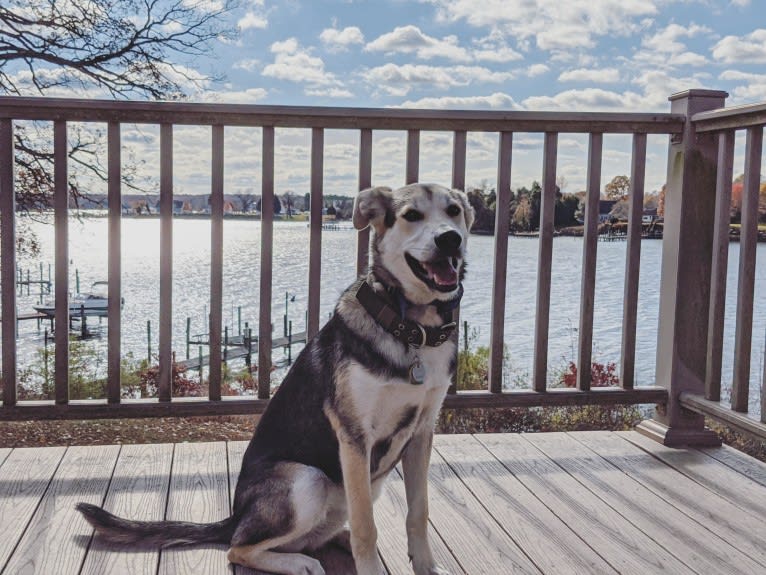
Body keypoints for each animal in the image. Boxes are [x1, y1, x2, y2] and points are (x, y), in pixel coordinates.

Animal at [78, 183, 474, 575]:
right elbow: (367, 525)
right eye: (411, 215)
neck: (411, 328)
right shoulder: (354, 436)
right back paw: (298, 563)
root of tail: (235, 515)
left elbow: (418, 513)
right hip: (307, 480)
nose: (450, 239)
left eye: (454, 211)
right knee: (238, 547)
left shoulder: (421, 433)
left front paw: (425, 567)